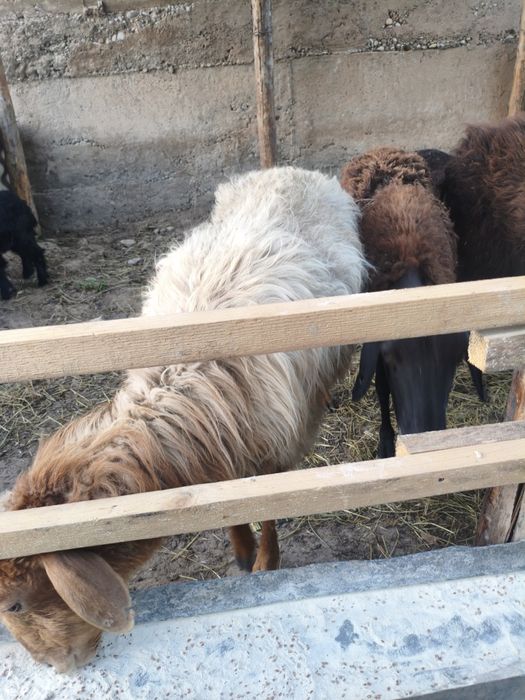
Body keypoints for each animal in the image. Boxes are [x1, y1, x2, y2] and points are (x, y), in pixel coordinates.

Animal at [0, 166, 366, 673]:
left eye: (14, 603)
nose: (56, 666)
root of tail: (286, 169)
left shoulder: (276, 451)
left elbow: (269, 508)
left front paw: (264, 564)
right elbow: (229, 504)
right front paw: (241, 553)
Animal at [340, 148, 470, 457]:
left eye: (454, 360)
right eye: (392, 360)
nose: (424, 431)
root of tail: (381, 149)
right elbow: (381, 389)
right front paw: (386, 443)